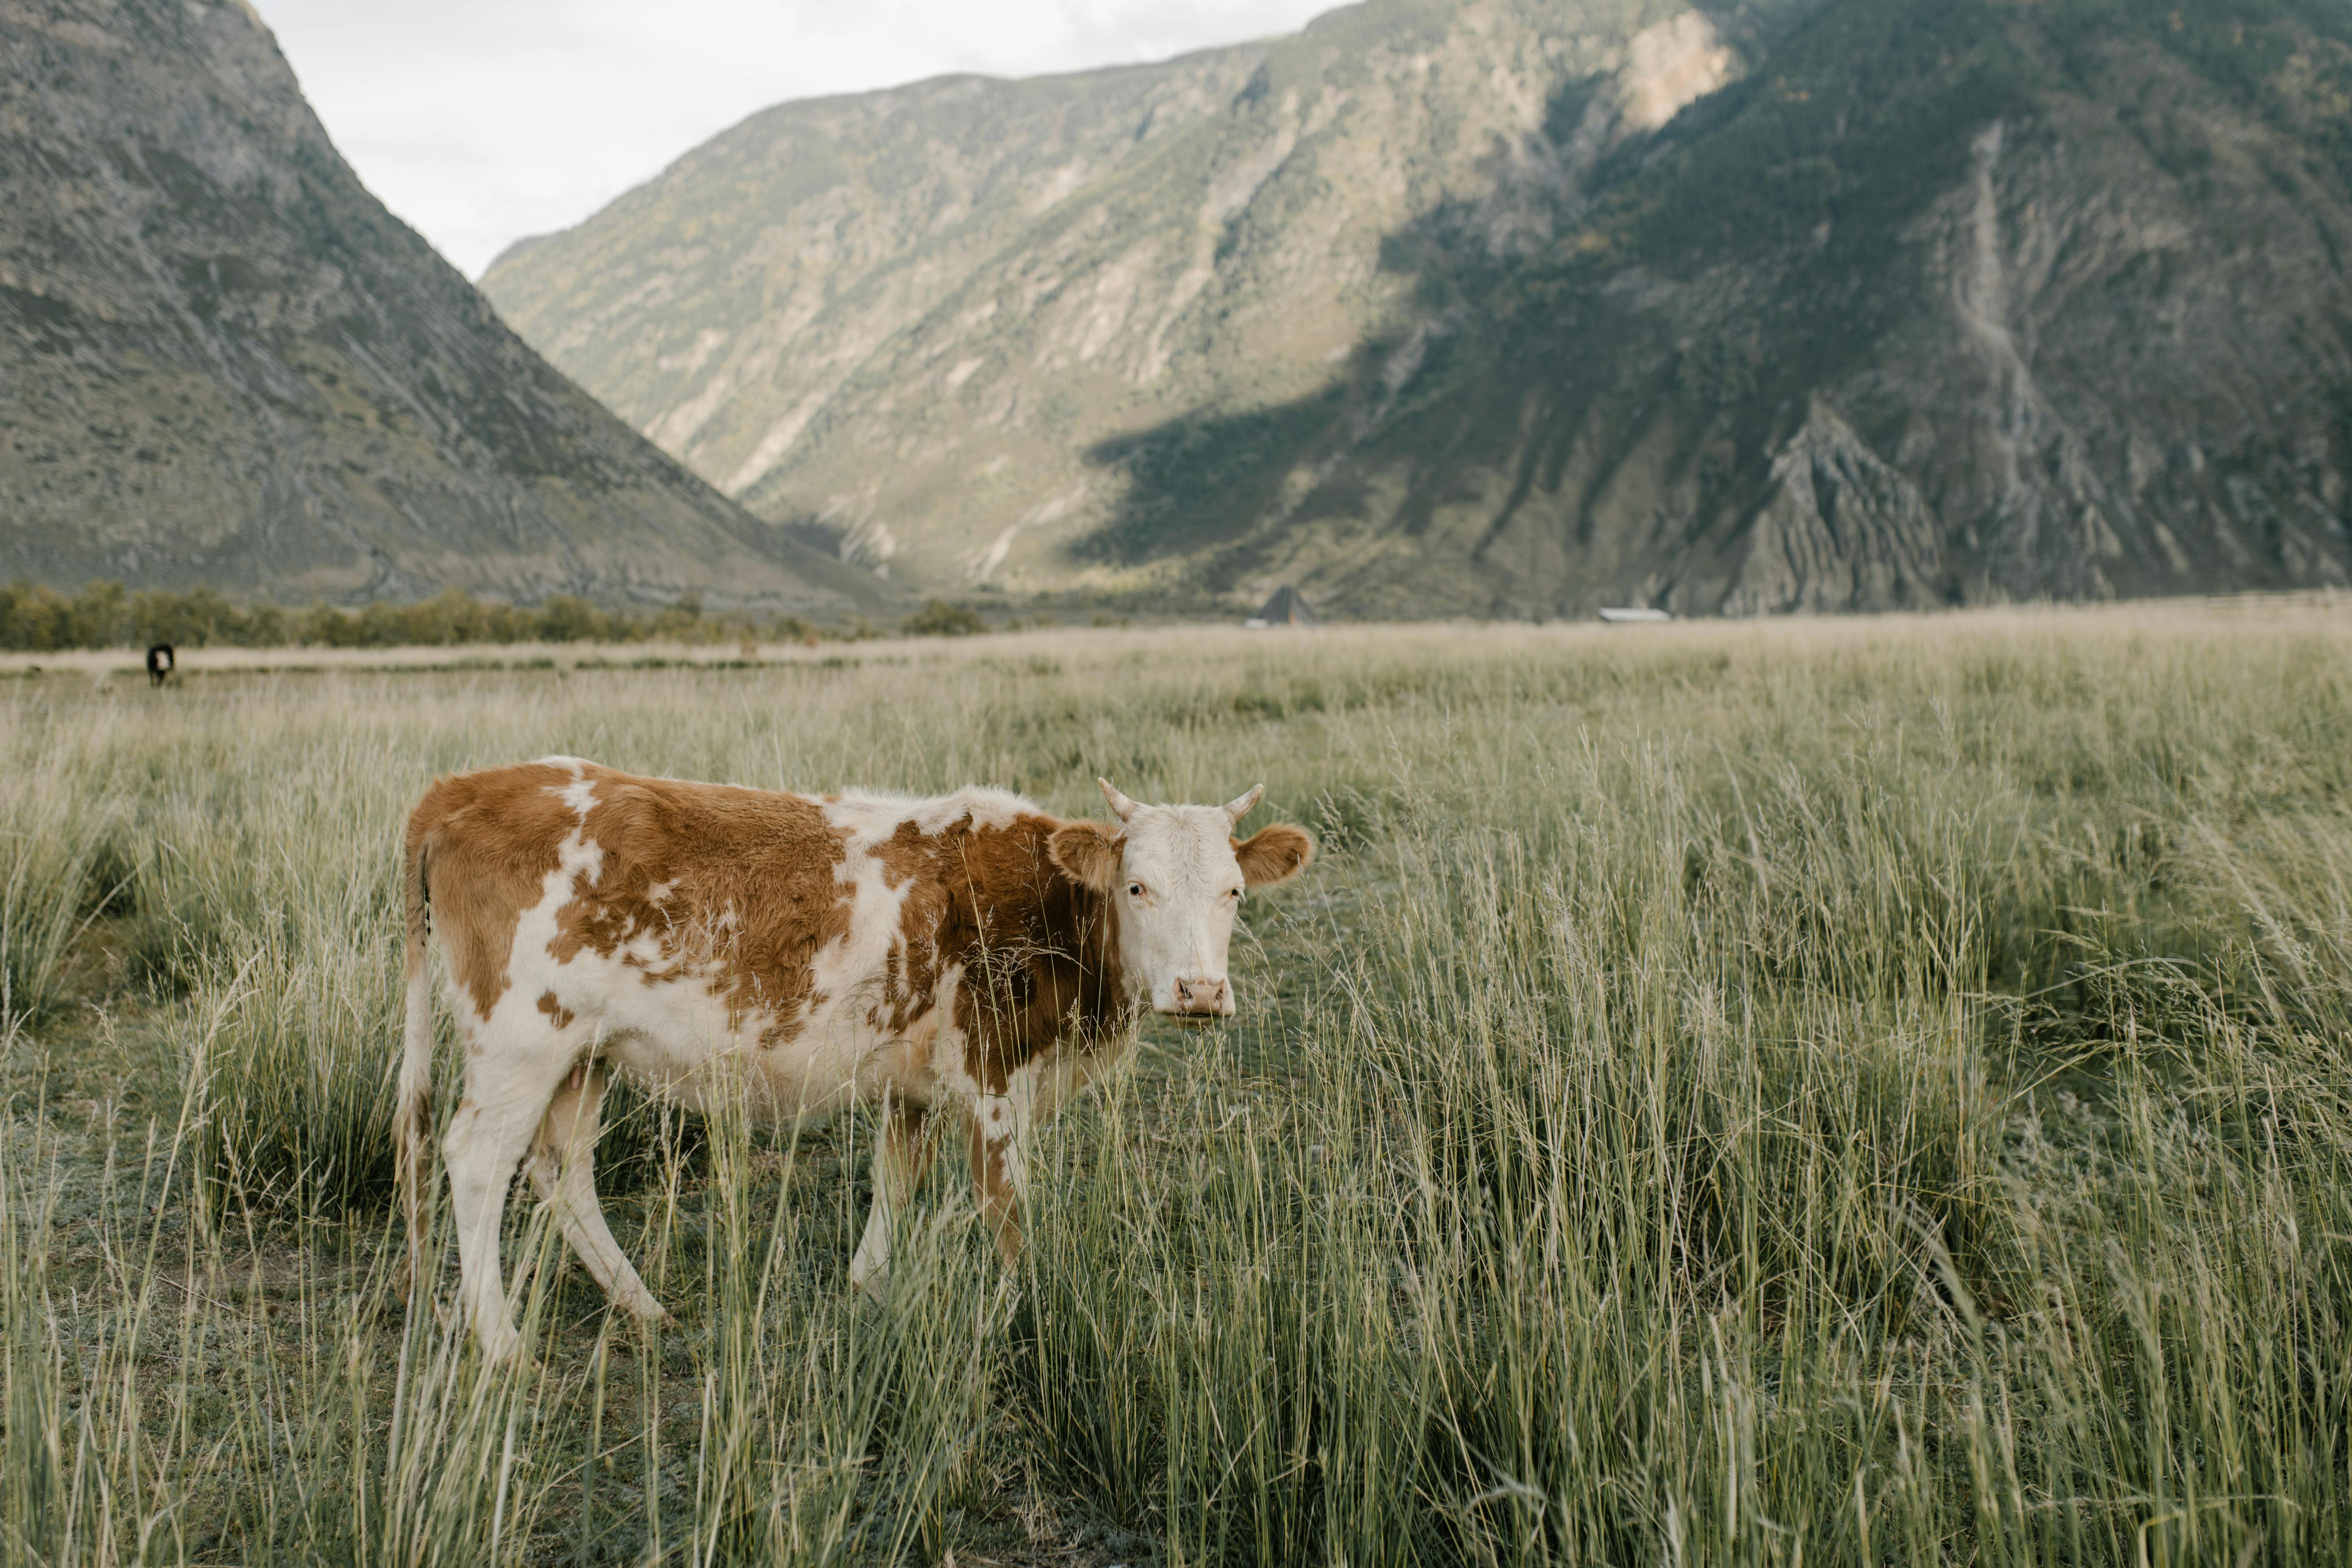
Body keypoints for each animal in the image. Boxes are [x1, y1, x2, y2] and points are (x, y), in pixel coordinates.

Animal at [383, 762, 1308, 1363]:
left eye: (1233, 892)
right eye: (1137, 887)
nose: (1199, 990)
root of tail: (464, 787)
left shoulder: (916, 1085)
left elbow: (896, 1178)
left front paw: (866, 1284)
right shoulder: (992, 1081)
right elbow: (1006, 1209)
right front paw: (1028, 1315)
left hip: (584, 1056)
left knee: (561, 1168)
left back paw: (643, 1309)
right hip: (520, 1043)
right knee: (477, 1160)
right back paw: (502, 1342)